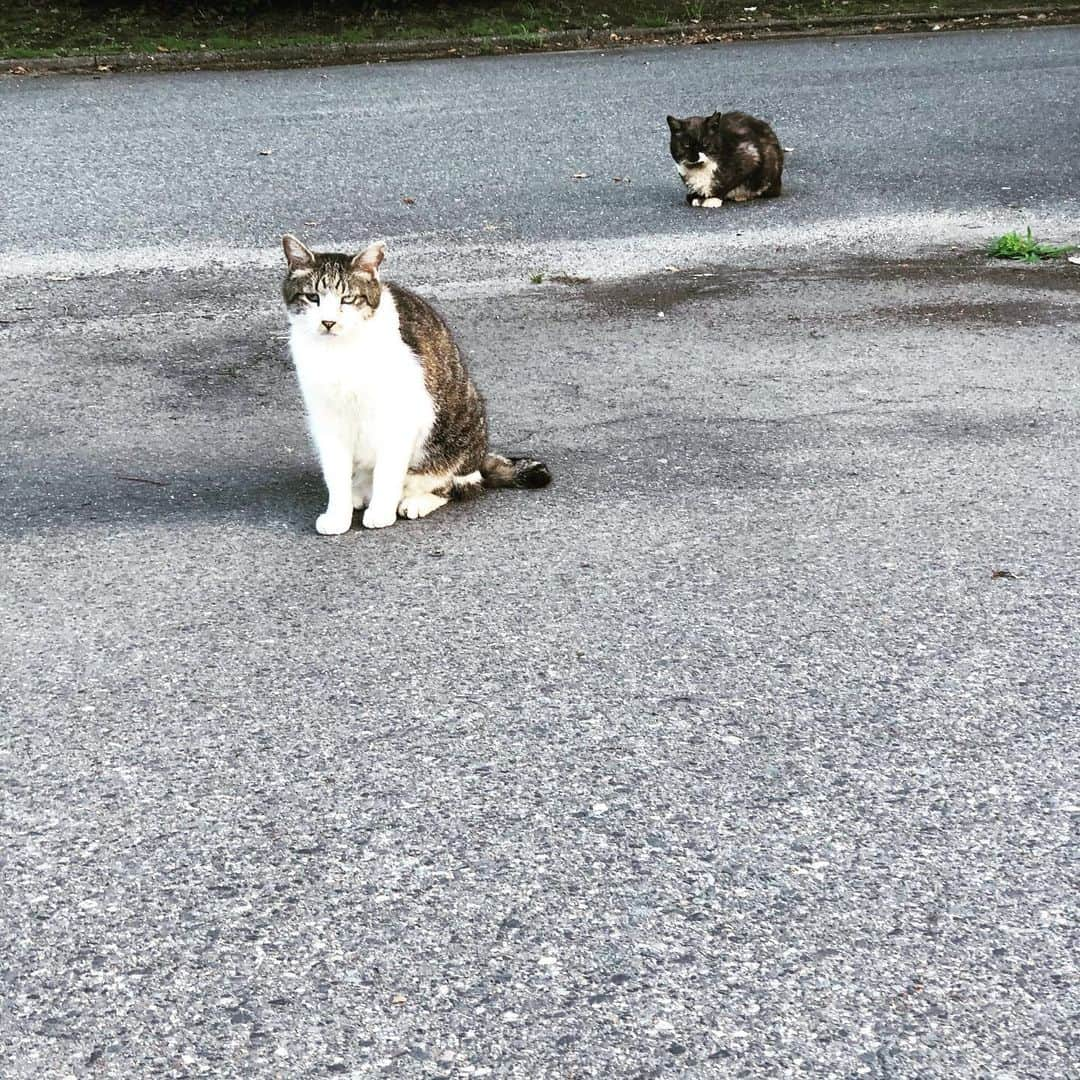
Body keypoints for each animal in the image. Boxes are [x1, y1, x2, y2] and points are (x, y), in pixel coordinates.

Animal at [282, 238, 552, 537]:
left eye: (348, 299)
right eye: (312, 297)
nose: (328, 322)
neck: (338, 354)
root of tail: (481, 456)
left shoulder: (399, 415)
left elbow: (388, 472)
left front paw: (381, 512)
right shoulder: (327, 419)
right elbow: (335, 472)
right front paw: (337, 515)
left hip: (455, 430)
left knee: (456, 485)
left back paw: (415, 500)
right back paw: (360, 490)